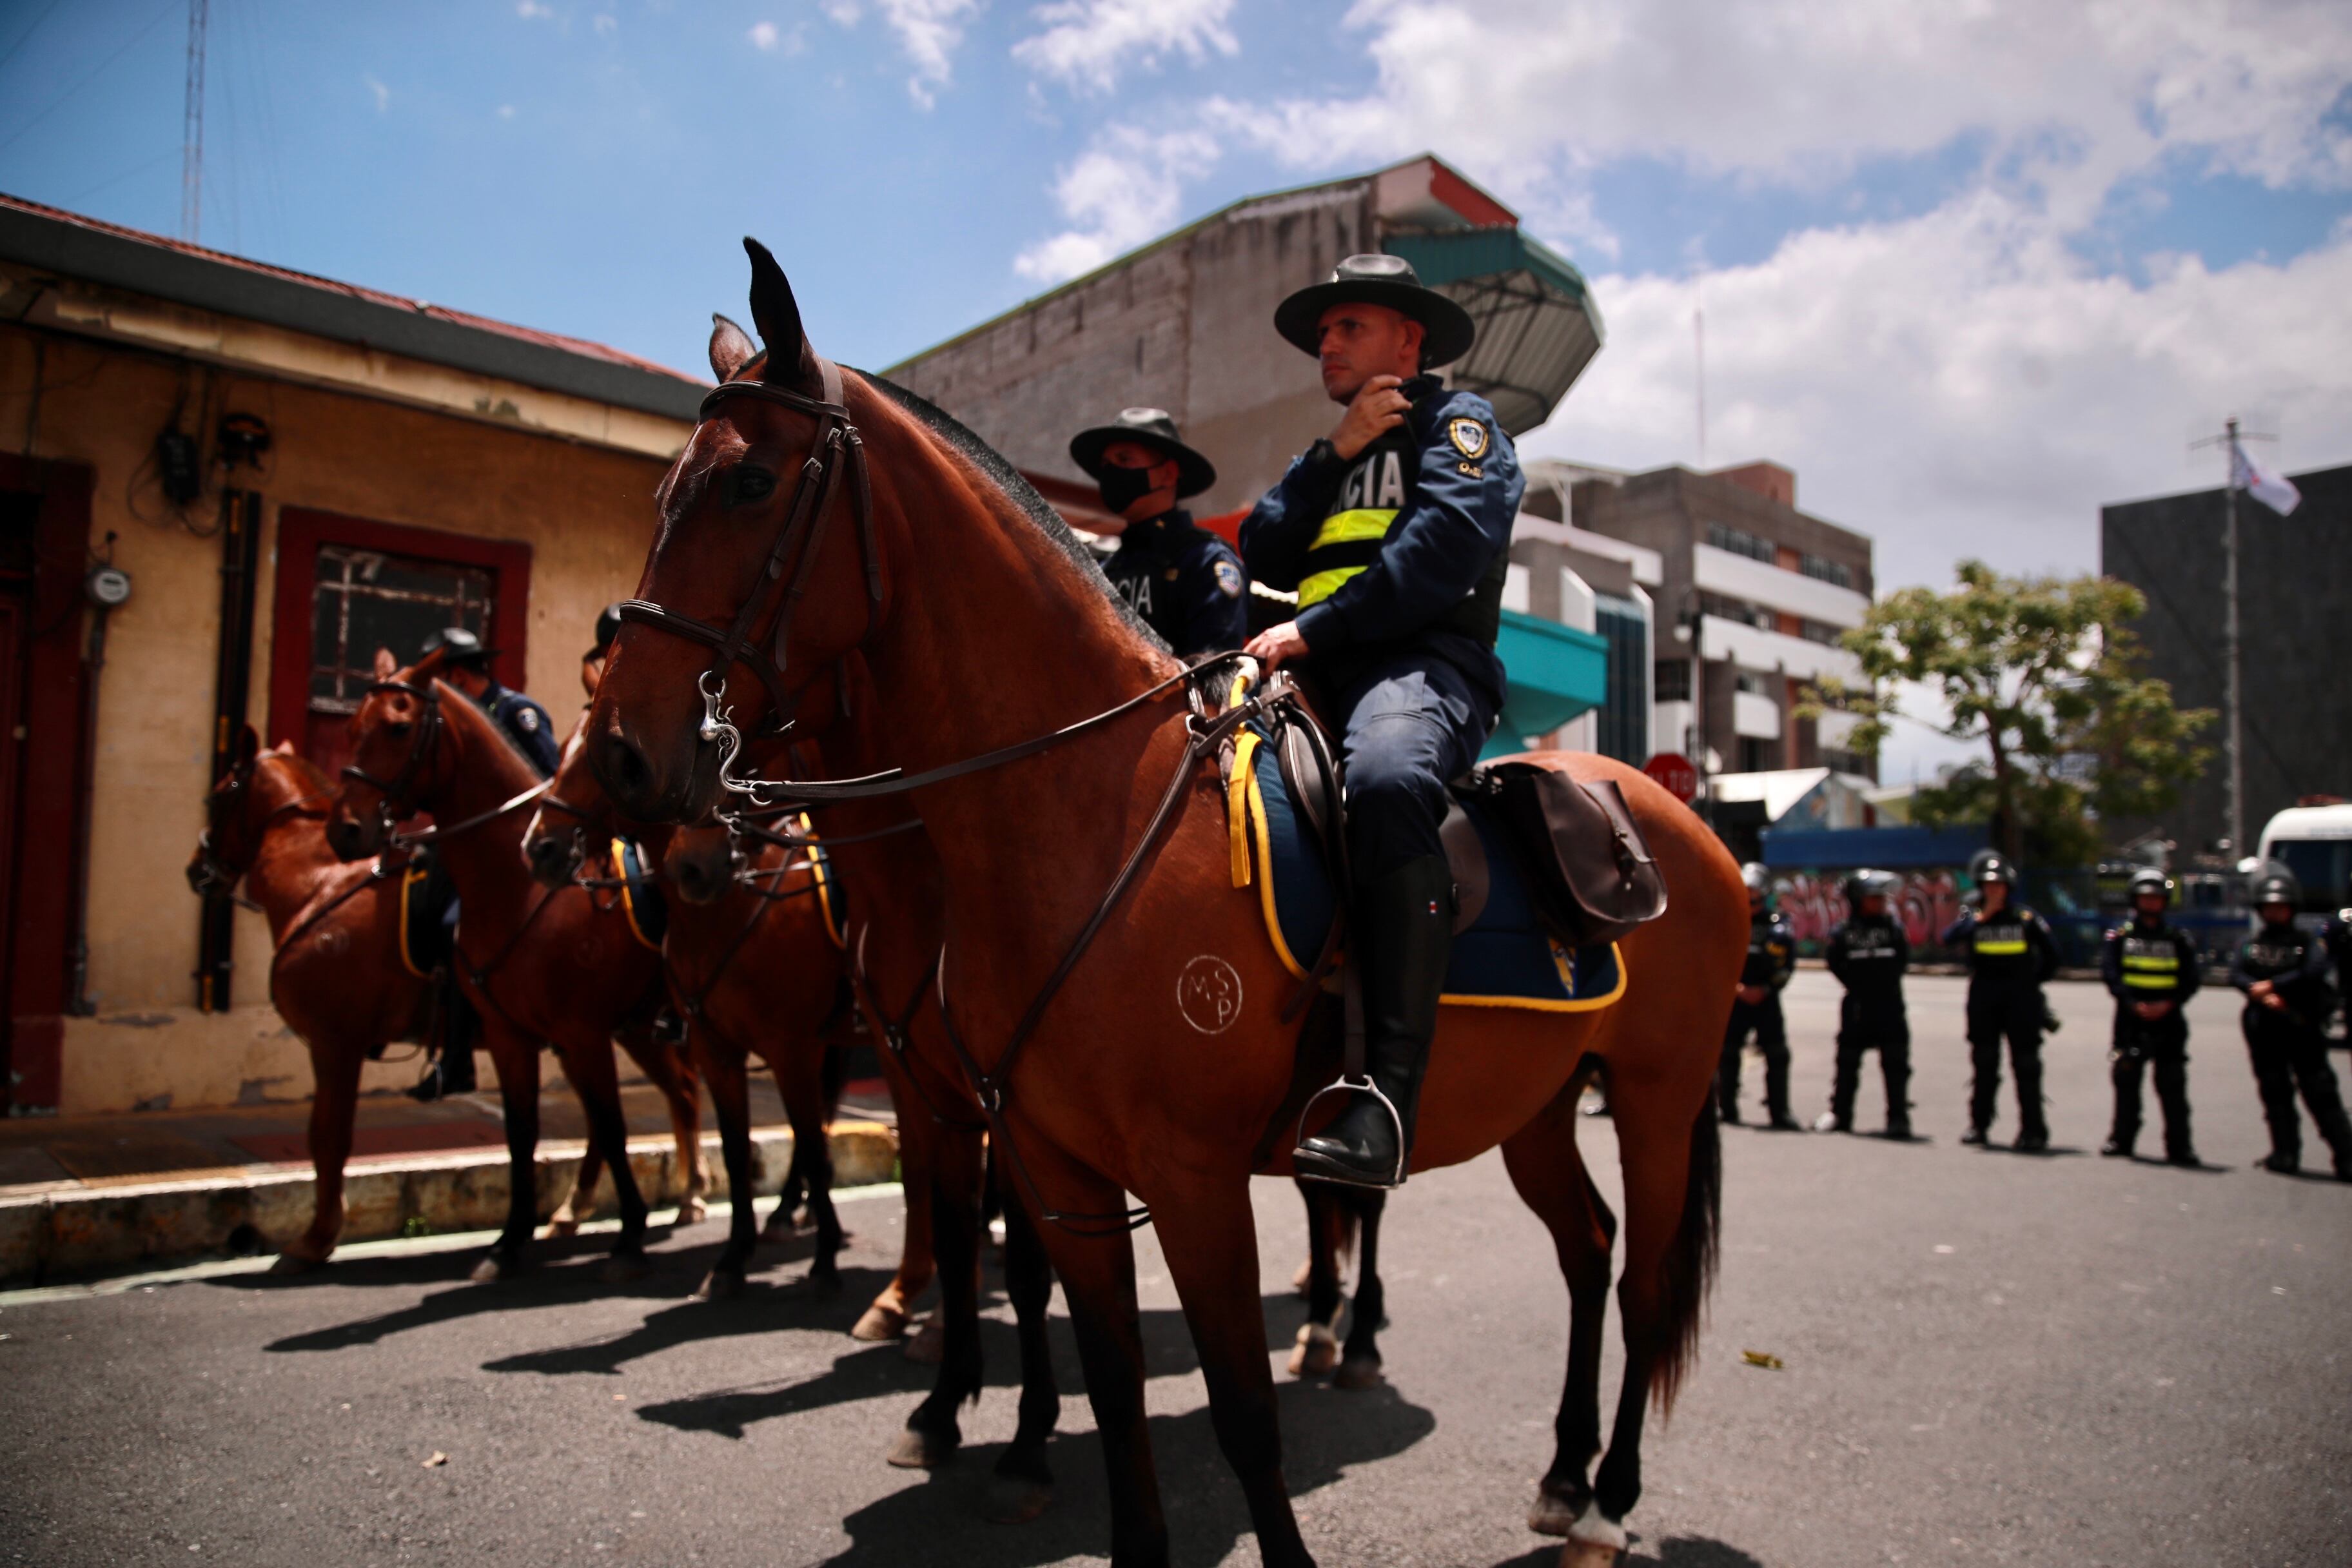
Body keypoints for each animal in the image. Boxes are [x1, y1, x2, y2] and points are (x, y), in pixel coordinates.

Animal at [186, 727, 431, 1271]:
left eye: (217, 795)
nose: (196, 869)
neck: (321, 883)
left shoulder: (334, 1042)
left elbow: (327, 1137)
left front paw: (318, 1236)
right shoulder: (338, 1044)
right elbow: (328, 1136)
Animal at [326, 645, 708, 1283]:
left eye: (398, 726)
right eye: (352, 724)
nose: (345, 829)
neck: (516, 889)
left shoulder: (582, 1033)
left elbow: (612, 1126)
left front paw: (630, 1232)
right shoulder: (513, 1036)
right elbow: (522, 1133)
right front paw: (509, 1241)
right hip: (636, 1027)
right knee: (678, 1091)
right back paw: (666, 1199)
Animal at [587, 249, 1745, 1567]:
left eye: (749, 482)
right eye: (666, 488)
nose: (625, 761)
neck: (1082, 804)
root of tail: (1674, 819)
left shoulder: (1189, 1179)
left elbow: (1241, 1412)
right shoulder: (1050, 1160)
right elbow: (1108, 1374)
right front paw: (995, 1432)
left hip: (1656, 1098)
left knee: (1639, 1281)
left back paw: (1597, 1493)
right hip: (1538, 1104)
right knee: (1587, 1252)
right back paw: (1557, 1473)